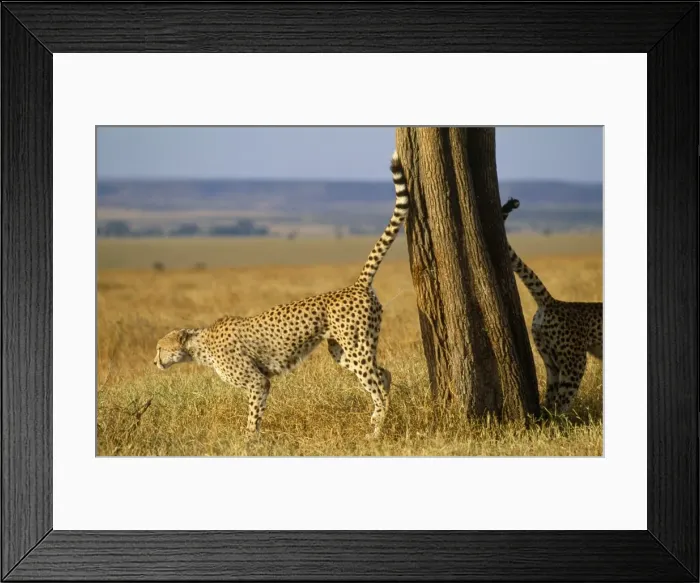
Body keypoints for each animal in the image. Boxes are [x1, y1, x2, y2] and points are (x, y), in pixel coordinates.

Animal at [153, 151, 409, 439]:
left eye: (160, 348)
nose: (154, 362)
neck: (201, 345)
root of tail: (356, 285)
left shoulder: (258, 382)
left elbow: (253, 416)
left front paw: (249, 441)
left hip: (357, 347)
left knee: (376, 385)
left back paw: (377, 429)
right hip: (343, 350)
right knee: (384, 374)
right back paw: (379, 421)